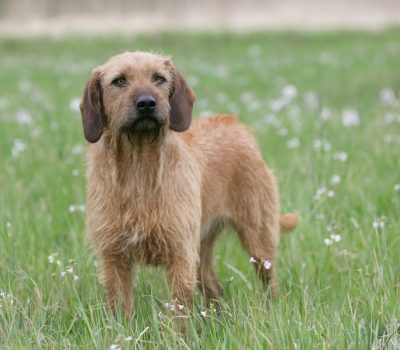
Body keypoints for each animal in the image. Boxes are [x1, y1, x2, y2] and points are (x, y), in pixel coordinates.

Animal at [79, 51, 296, 320]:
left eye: (158, 78)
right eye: (119, 81)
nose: (146, 103)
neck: (139, 169)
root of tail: (236, 124)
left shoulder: (180, 255)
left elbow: (179, 314)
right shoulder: (114, 259)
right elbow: (121, 313)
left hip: (258, 242)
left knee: (270, 282)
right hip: (202, 251)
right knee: (214, 288)